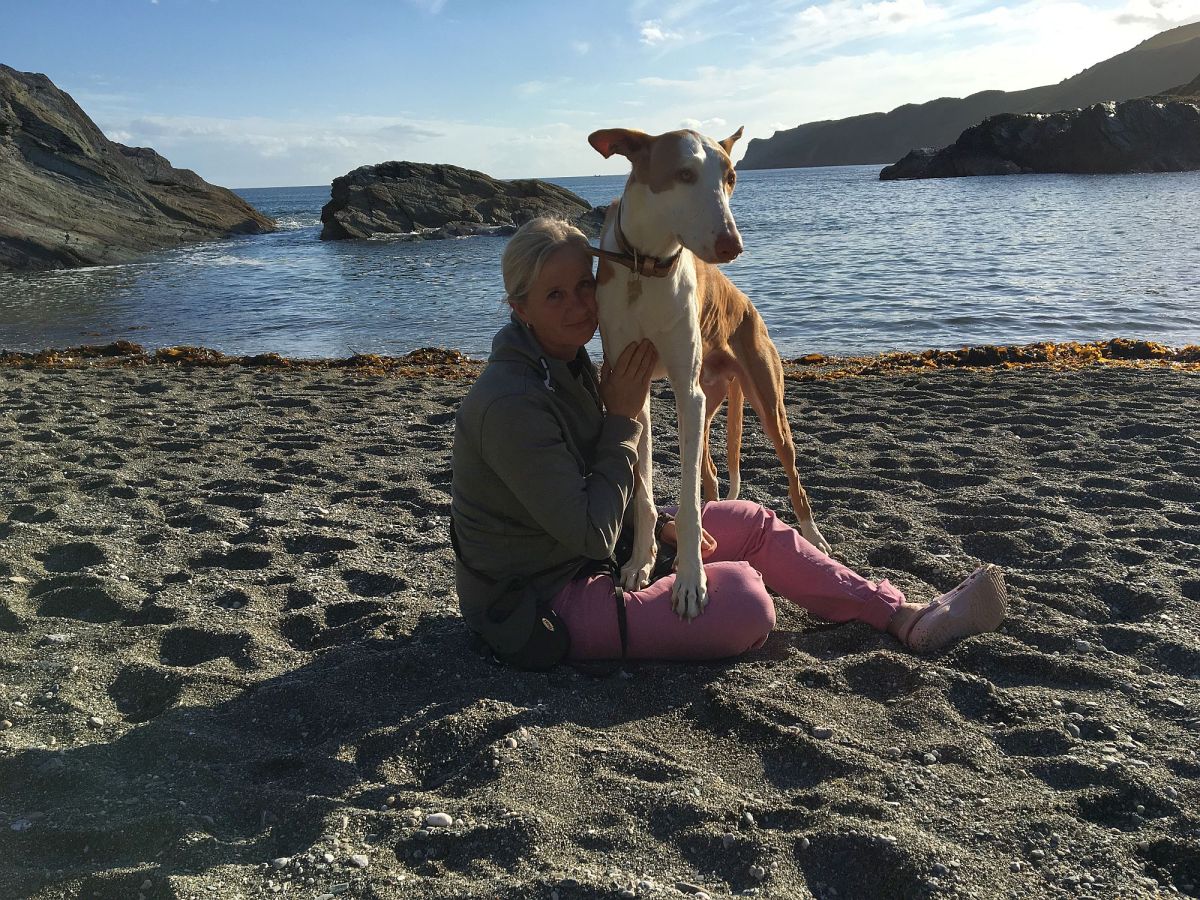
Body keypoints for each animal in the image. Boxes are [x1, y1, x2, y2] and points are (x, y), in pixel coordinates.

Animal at [588, 125, 830, 620]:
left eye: (731, 177)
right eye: (684, 174)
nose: (731, 245)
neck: (645, 267)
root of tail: (748, 307)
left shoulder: (685, 389)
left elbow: (685, 500)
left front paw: (689, 581)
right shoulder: (632, 386)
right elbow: (643, 491)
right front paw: (641, 563)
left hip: (760, 401)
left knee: (792, 476)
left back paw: (813, 536)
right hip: (708, 397)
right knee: (712, 473)